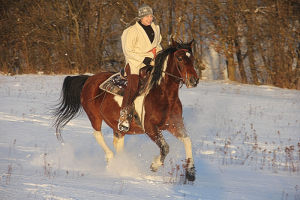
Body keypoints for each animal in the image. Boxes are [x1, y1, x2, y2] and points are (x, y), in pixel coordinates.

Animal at [52, 39, 199, 182]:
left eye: (192, 58)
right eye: (179, 58)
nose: (194, 80)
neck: (163, 95)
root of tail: (89, 78)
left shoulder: (174, 125)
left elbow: (187, 141)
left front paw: (191, 172)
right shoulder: (150, 128)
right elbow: (165, 147)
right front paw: (155, 165)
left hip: (117, 126)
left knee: (118, 143)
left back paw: (122, 165)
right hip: (94, 116)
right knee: (98, 135)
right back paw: (112, 158)